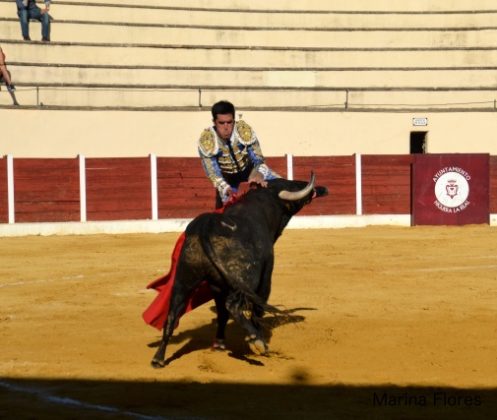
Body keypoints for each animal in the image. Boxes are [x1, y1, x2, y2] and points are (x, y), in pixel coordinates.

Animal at [151, 172, 330, 366]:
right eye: (294, 185)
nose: (322, 188)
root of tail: (206, 227)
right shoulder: (265, 276)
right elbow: (257, 308)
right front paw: (258, 338)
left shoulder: (217, 287)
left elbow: (222, 313)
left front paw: (220, 344)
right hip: (245, 278)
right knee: (234, 306)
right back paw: (257, 341)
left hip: (184, 278)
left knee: (173, 313)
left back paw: (158, 358)